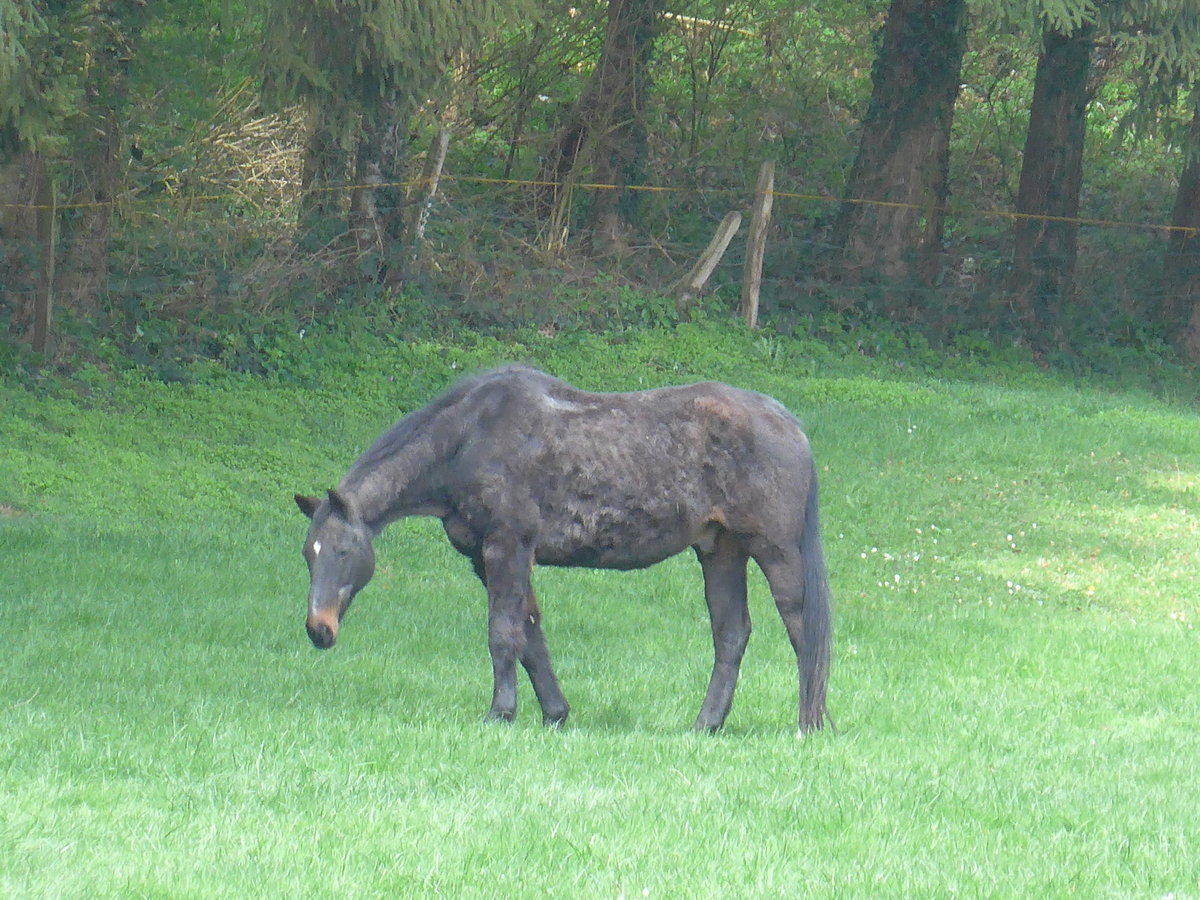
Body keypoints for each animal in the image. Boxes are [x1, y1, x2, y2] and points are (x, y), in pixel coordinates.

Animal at [295, 364, 832, 733]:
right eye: (309, 554)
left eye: (342, 552)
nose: (319, 630)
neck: (467, 437)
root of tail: (788, 421)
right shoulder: (492, 559)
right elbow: (530, 636)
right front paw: (554, 713)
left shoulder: (506, 548)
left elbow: (503, 634)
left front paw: (500, 713)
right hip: (721, 550)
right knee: (731, 634)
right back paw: (706, 724)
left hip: (775, 550)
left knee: (802, 627)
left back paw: (810, 723)